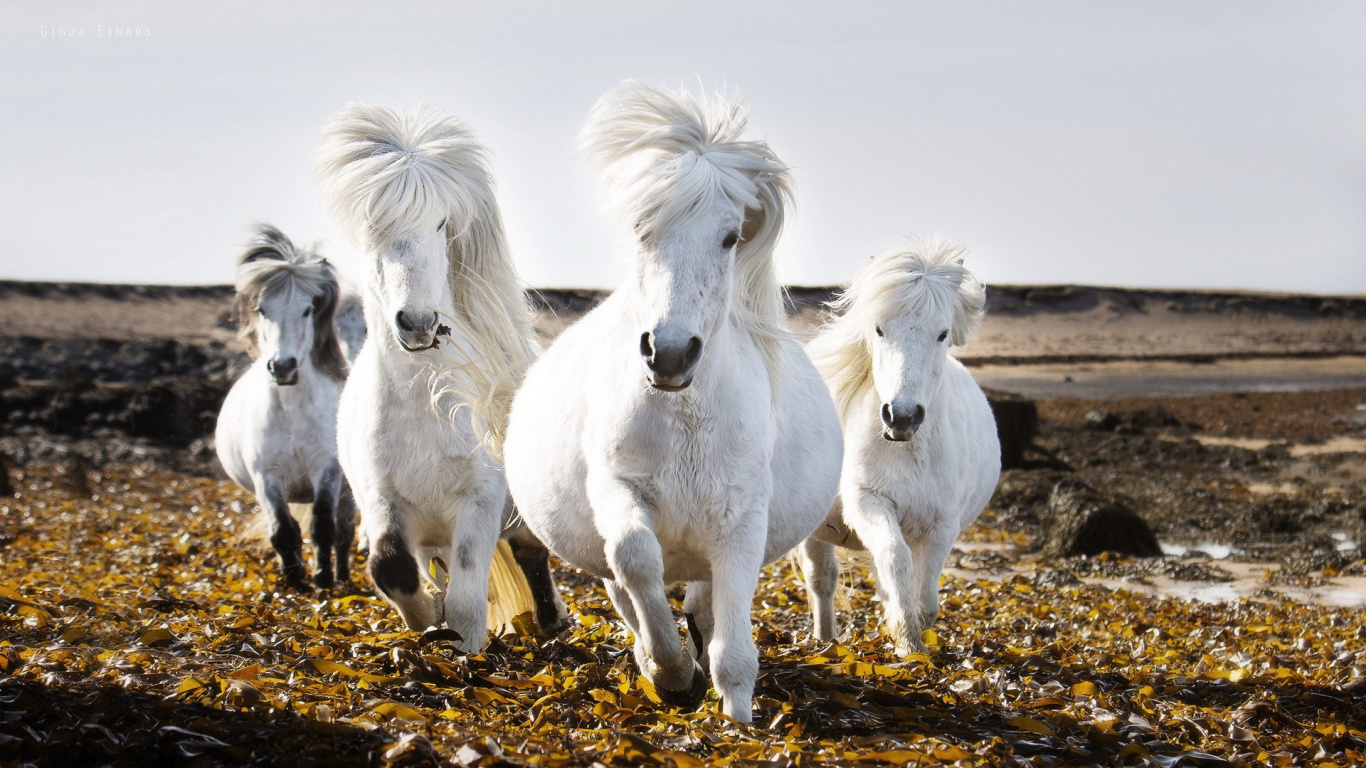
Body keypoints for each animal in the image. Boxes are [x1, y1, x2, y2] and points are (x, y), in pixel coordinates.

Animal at [316, 104, 568, 647]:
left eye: (439, 223)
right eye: (373, 227)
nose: (417, 323)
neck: (424, 404)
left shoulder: (480, 502)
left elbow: (469, 603)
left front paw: (467, 650)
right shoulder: (383, 501)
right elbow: (391, 569)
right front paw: (427, 624)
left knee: (531, 554)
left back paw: (551, 620)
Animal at [502, 80, 841, 721]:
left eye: (730, 237)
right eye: (642, 228)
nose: (671, 353)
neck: (686, 422)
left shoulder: (740, 521)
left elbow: (734, 651)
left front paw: (736, 716)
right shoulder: (619, 491)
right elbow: (636, 559)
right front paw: (671, 673)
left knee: (704, 605)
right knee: (629, 588)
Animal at [797, 237, 1005, 650]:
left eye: (942, 333)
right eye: (879, 329)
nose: (902, 417)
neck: (909, 451)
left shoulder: (942, 523)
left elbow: (926, 595)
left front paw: (915, 638)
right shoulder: (868, 502)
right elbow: (895, 558)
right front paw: (907, 640)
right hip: (817, 530)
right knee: (823, 581)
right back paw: (826, 642)